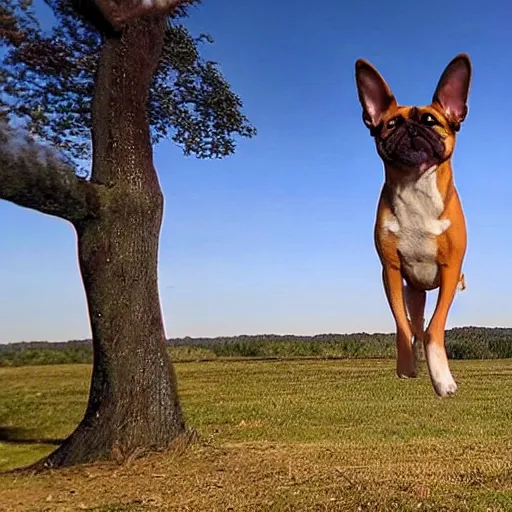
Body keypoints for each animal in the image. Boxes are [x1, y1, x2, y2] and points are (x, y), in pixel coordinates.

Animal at [356, 55, 472, 396]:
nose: (410, 128)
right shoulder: (391, 271)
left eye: (431, 121)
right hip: (414, 292)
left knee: (424, 326)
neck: (415, 185)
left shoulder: (450, 270)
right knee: (415, 324)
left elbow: (436, 327)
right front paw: (408, 366)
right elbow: (402, 325)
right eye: (391, 123)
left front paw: (443, 378)